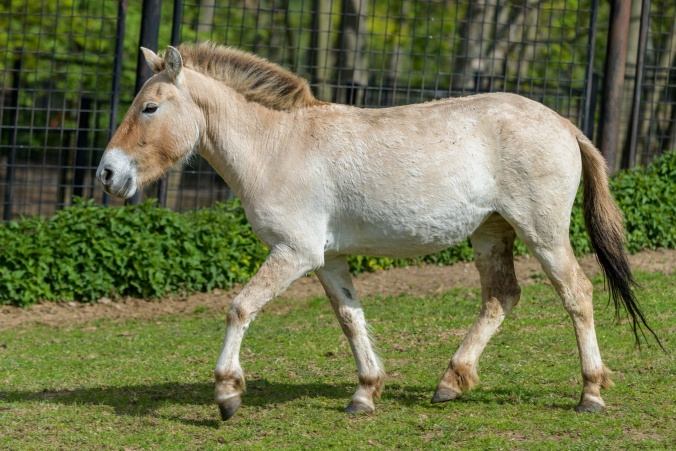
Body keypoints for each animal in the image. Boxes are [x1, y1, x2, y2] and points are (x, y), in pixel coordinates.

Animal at [96, 41, 660, 420]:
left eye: (149, 107)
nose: (107, 173)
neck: (278, 146)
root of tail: (564, 124)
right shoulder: (327, 260)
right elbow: (351, 319)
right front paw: (365, 393)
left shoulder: (294, 253)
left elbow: (240, 307)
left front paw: (227, 394)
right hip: (490, 233)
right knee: (502, 297)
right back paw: (450, 383)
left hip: (542, 234)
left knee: (577, 294)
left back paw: (590, 393)